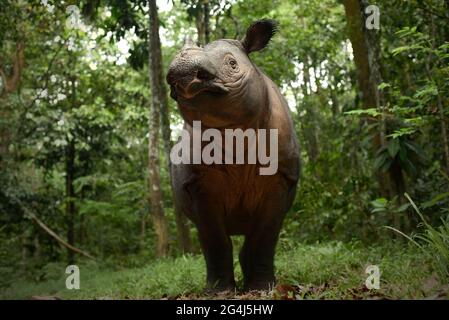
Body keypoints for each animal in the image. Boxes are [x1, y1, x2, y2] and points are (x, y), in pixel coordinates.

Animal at [166, 18, 300, 292]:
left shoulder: (281, 177)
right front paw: (218, 291)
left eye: (232, 64)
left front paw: (262, 288)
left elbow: (265, 236)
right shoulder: (200, 184)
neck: (235, 131)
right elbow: (215, 239)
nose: (184, 74)